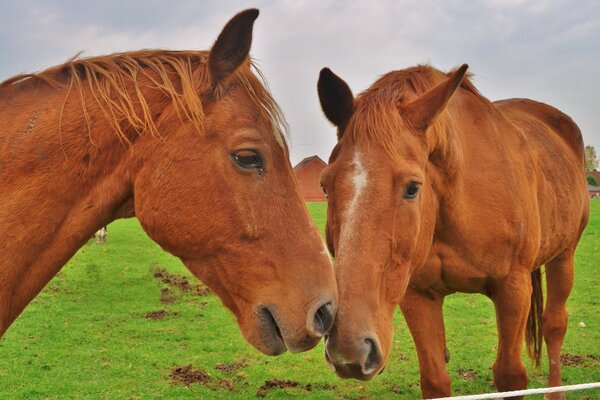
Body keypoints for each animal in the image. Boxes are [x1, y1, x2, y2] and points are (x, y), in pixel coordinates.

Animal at [316, 64, 588, 398]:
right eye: (325, 185)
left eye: (412, 188)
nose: (350, 348)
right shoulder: (417, 295)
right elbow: (435, 380)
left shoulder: (513, 288)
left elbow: (510, 376)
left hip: (564, 256)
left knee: (554, 326)